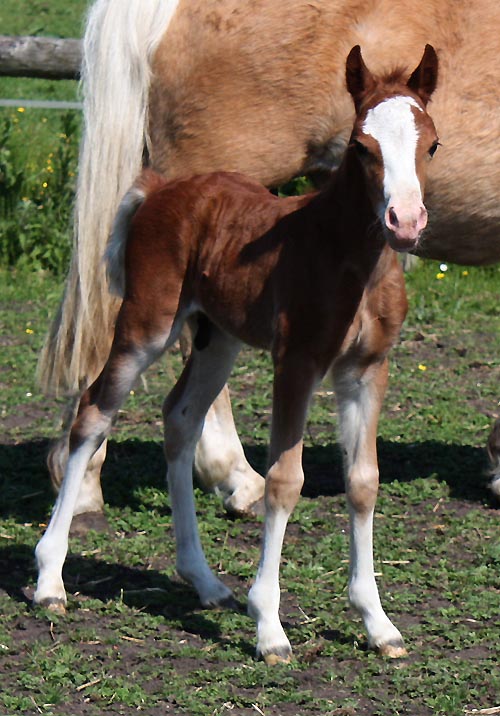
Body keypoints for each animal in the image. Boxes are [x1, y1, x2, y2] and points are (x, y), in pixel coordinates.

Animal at [34, 45, 440, 664]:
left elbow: (363, 481)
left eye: (432, 144)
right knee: (95, 412)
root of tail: (158, 190)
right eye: (360, 147)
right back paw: (50, 580)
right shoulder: (296, 363)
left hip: (216, 337)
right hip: (147, 325)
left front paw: (379, 624)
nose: (406, 222)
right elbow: (285, 481)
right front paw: (270, 628)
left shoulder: (367, 370)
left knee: (180, 416)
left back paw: (202, 580)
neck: (352, 257)